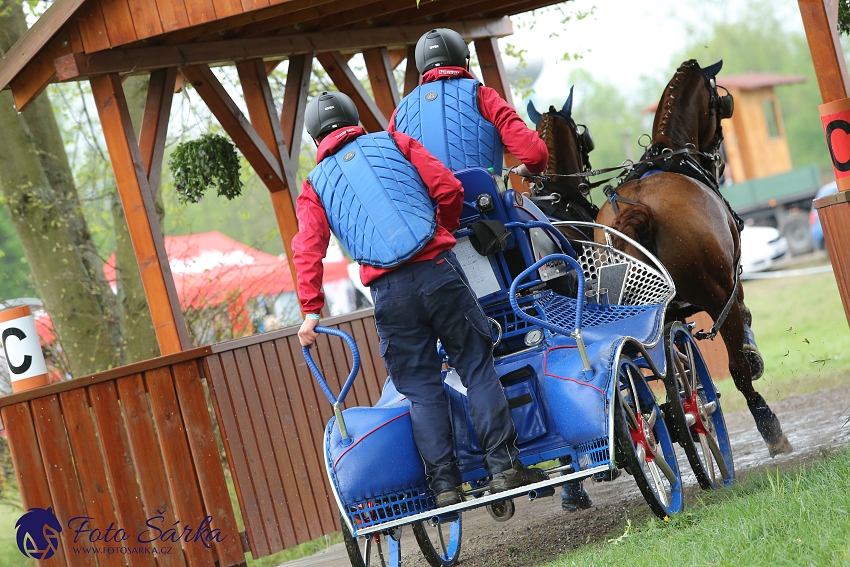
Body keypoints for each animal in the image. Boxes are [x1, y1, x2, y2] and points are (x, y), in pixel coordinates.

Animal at [596, 58, 788, 458]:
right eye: (719, 101)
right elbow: (743, 318)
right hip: (714, 294)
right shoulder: (730, 283)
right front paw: (752, 354)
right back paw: (767, 424)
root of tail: (640, 210)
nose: (722, 162)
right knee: (735, 369)